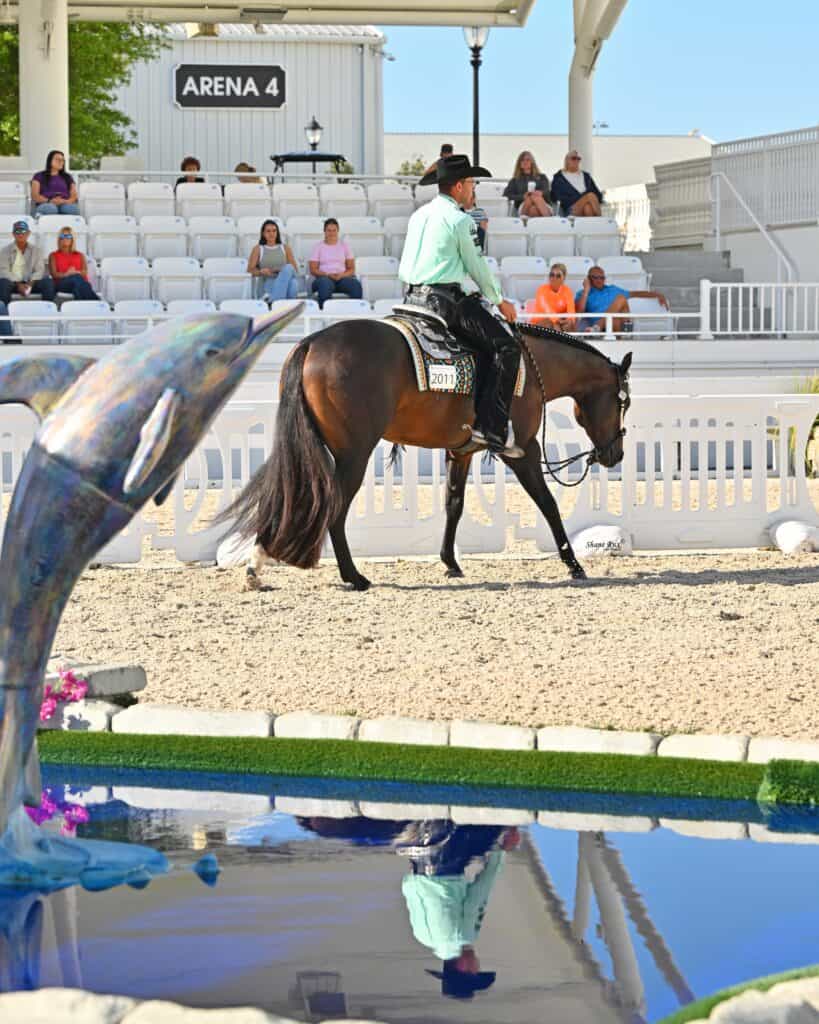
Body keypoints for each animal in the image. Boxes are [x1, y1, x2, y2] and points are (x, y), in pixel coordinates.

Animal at [222, 318, 632, 591]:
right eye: (622, 402)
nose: (615, 453)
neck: (529, 366)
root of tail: (311, 343)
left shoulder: (461, 451)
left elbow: (454, 503)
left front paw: (450, 562)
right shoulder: (523, 451)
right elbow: (547, 503)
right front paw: (573, 563)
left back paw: (257, 565)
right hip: (353, 455)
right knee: (333, 507)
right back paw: (353, 575)